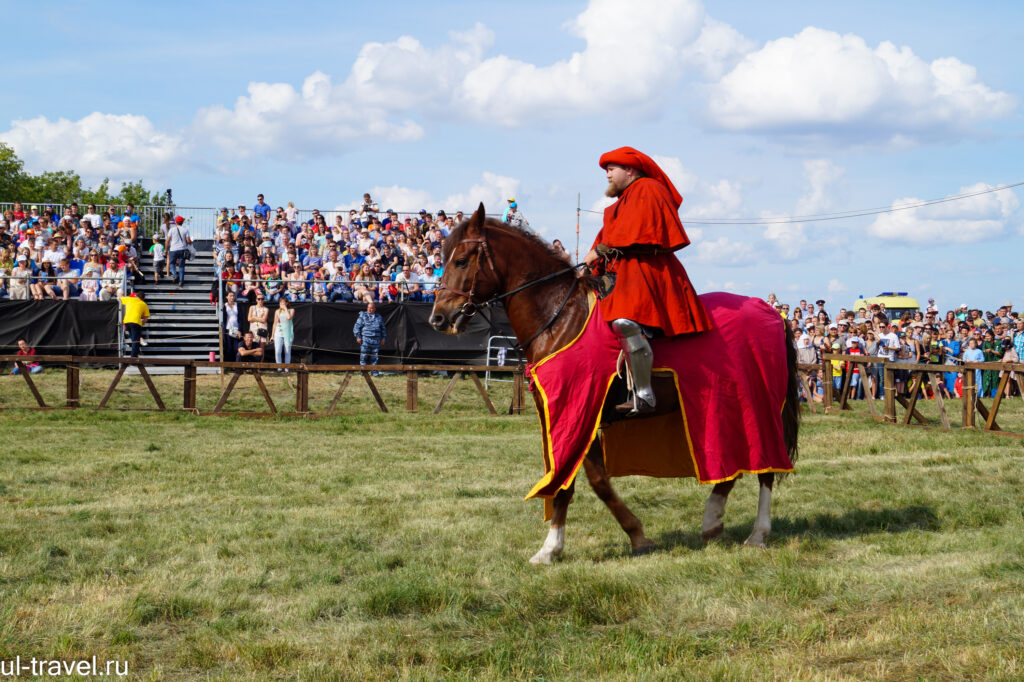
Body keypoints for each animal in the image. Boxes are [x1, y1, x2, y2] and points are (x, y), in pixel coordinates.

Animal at [425, 202, 798, 561]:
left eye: (461, 260)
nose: (438, 318)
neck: (559, 318)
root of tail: (770, 312)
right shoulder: (569, 417)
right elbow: (591, 479)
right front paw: (635, 536)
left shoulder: (576, 412)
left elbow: (576, 482)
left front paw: (551, 548)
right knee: (734, 467)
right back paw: (712, 522)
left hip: (757, 407)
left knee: (764, 467)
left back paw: (757, 534)